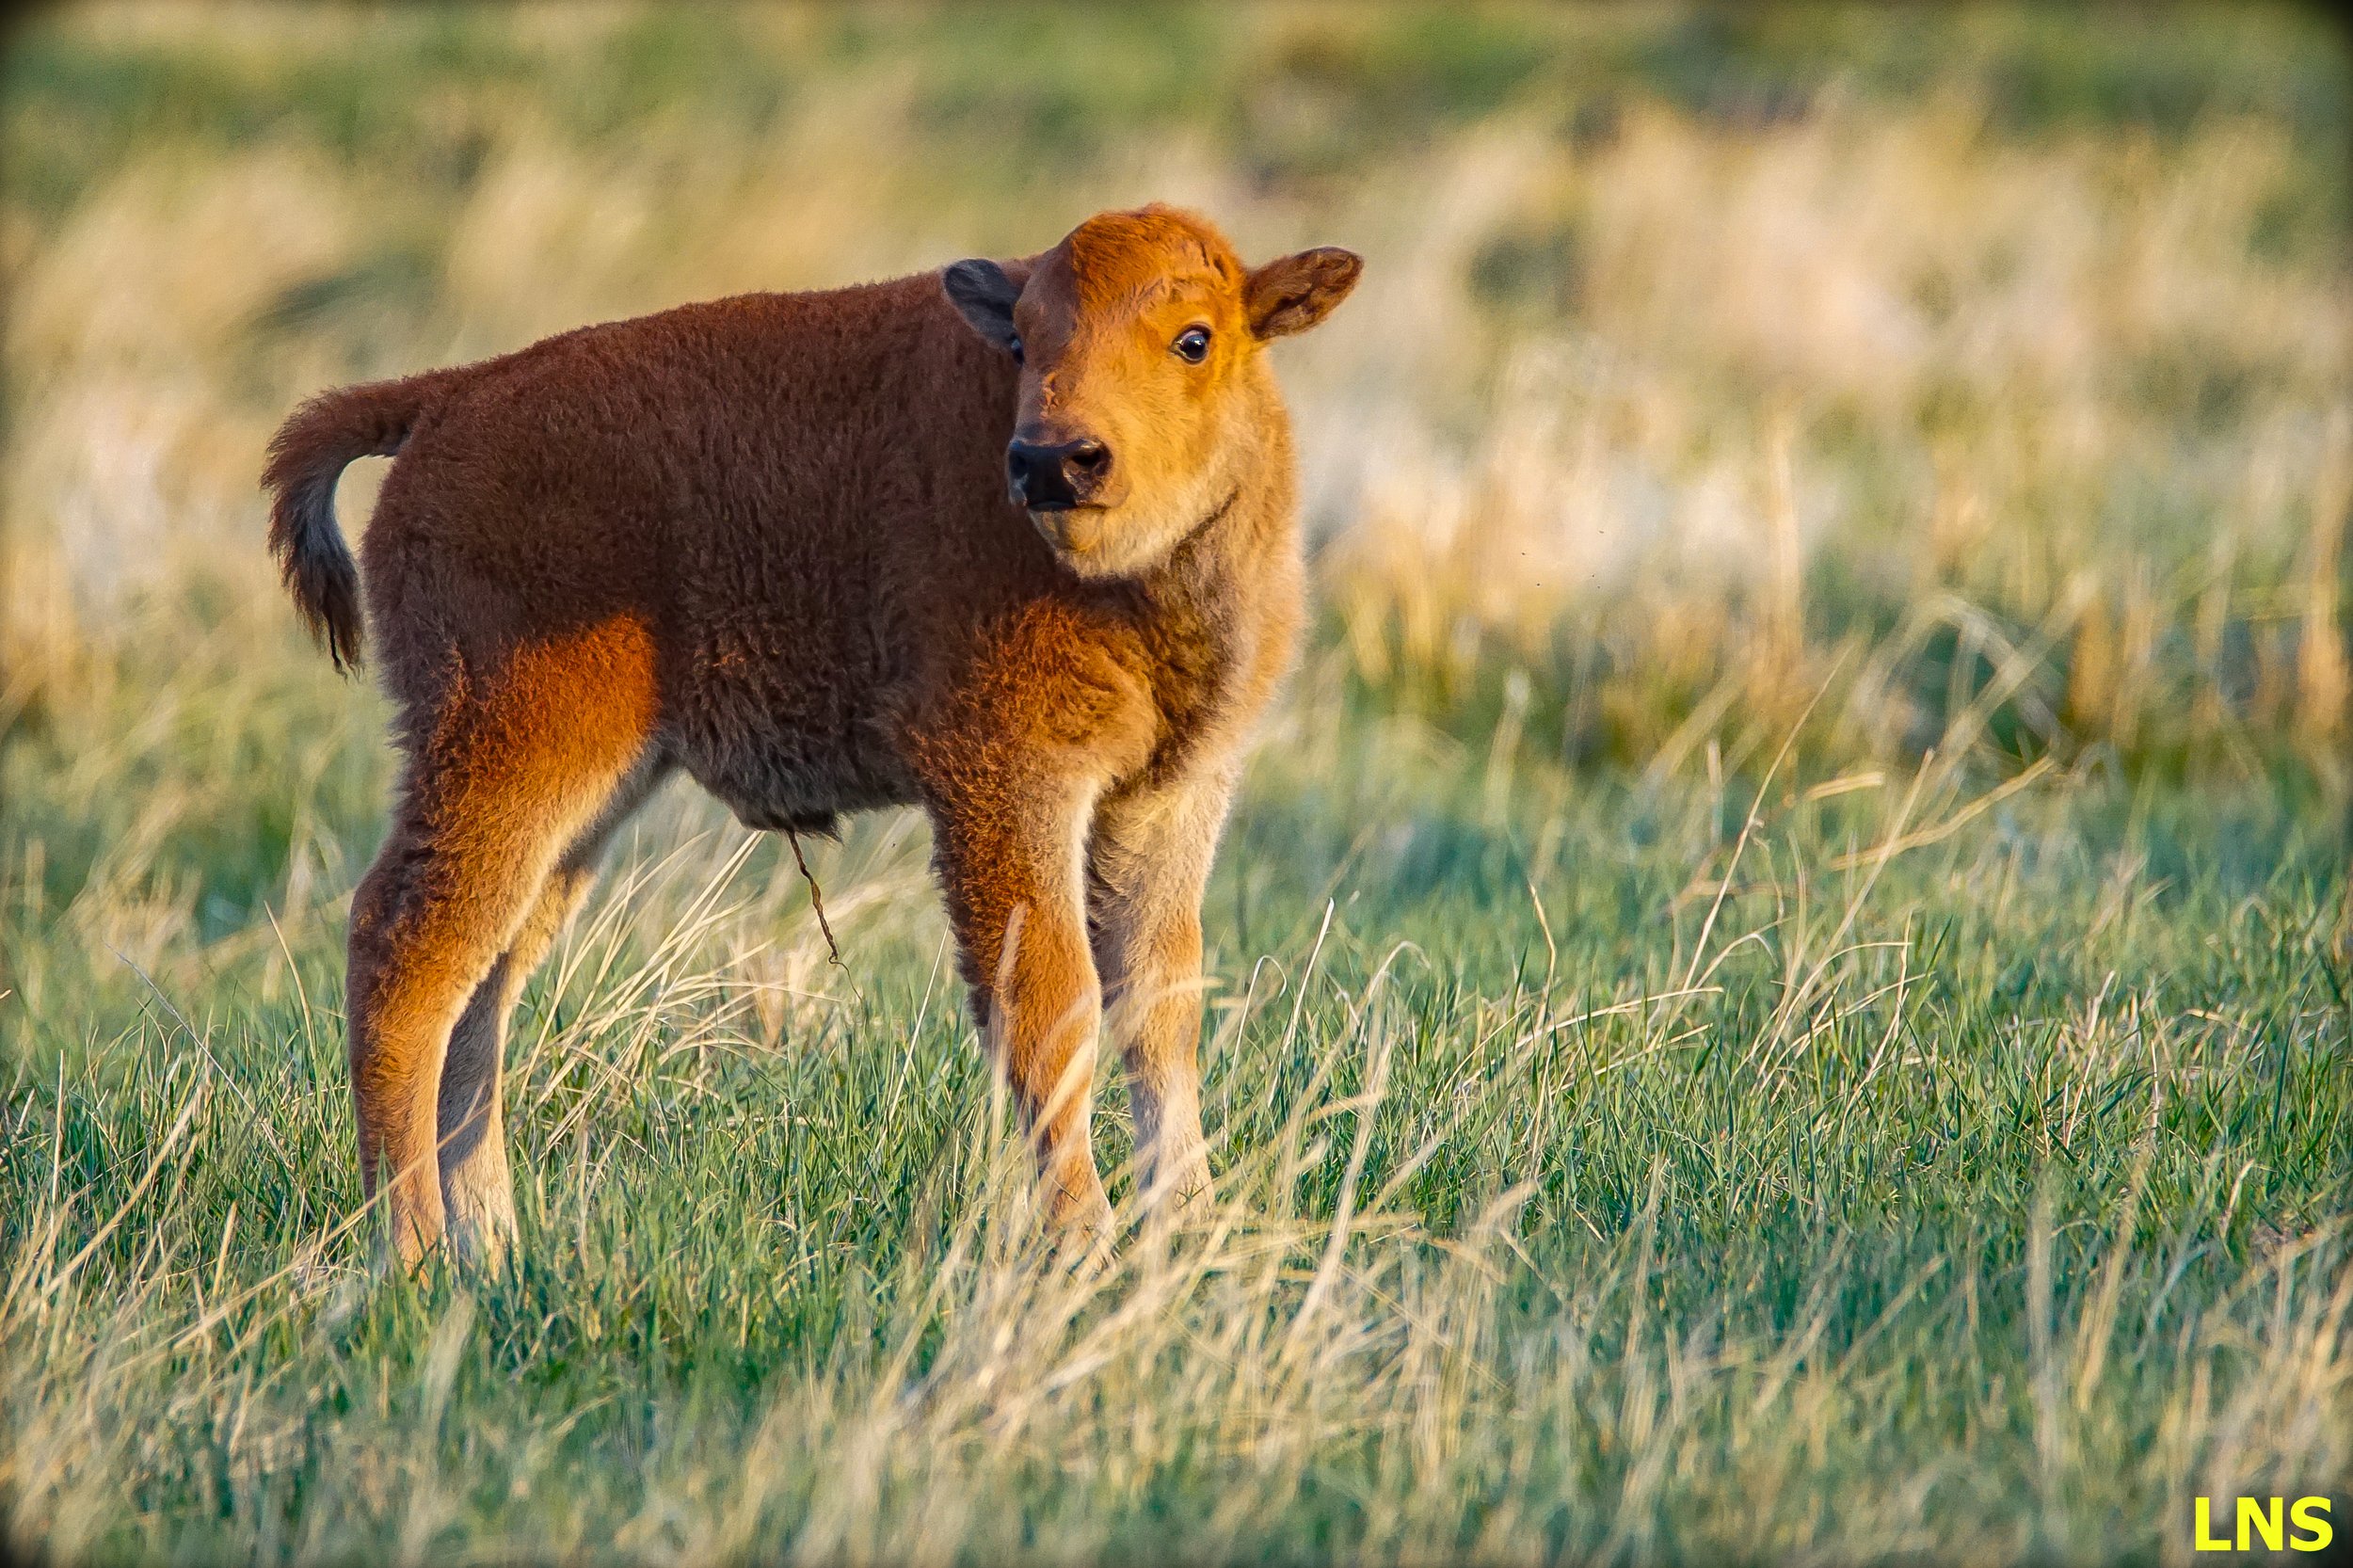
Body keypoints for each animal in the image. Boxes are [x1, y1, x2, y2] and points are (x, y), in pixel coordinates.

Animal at [262, 200, 1365, 1261]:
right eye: (1024, 338)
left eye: (1194, 339)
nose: (1055, 461)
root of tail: (447, 397)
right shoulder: (1009, 784)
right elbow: (1053, 1006)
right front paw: (1082, 1241)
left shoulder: (1171, 794)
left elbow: (1159, 1000)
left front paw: (1192, 1224)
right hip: (511, 756)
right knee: (407, 954)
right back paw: (410, 1252)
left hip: (580, 801)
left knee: (485, 986)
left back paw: (488, 1248)